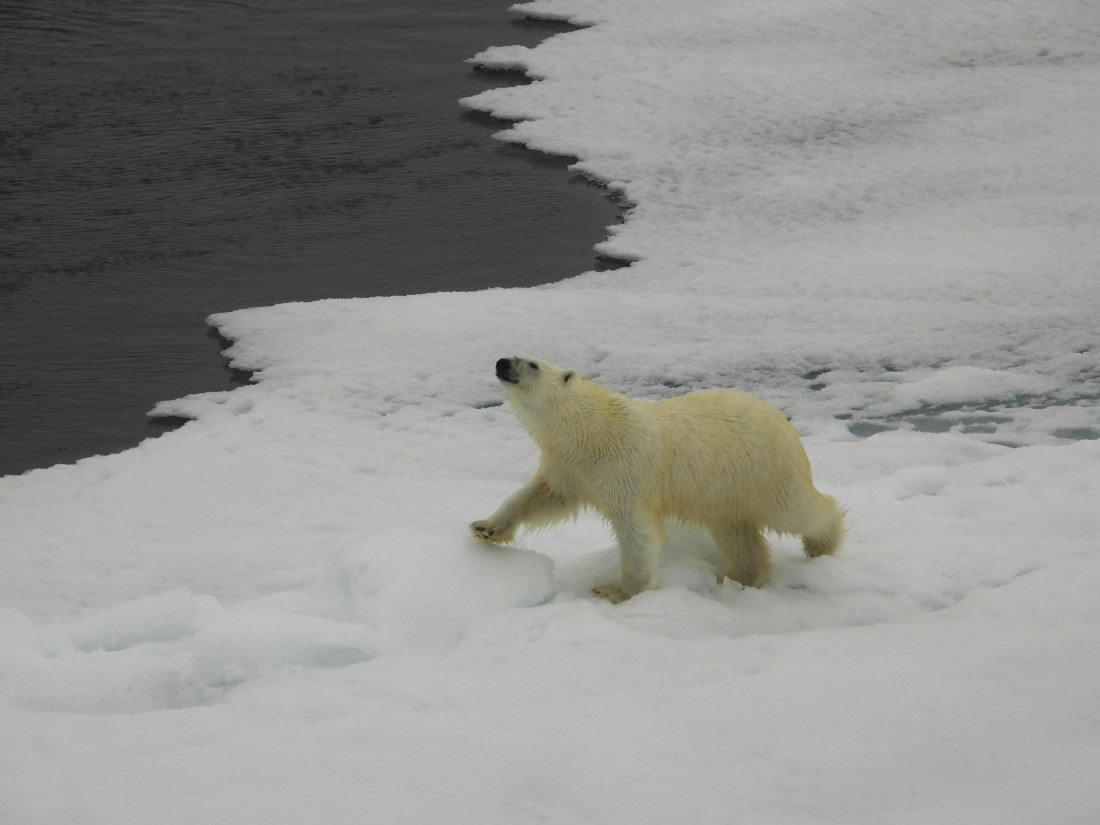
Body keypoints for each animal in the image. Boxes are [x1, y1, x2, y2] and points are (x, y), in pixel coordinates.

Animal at [471, 356, 846, 603]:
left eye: (532, 363)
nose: (502, 362)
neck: (590, 430)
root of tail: (784, 423)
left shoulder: (626, 467)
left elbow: (637, 531)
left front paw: (617, 590)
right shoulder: (570, 467)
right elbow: (541, 496)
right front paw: (485, 528)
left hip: (762, 469)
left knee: (795, 509)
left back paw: (822, 543)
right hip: (724, 487)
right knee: (734, 528)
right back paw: (737, 576)